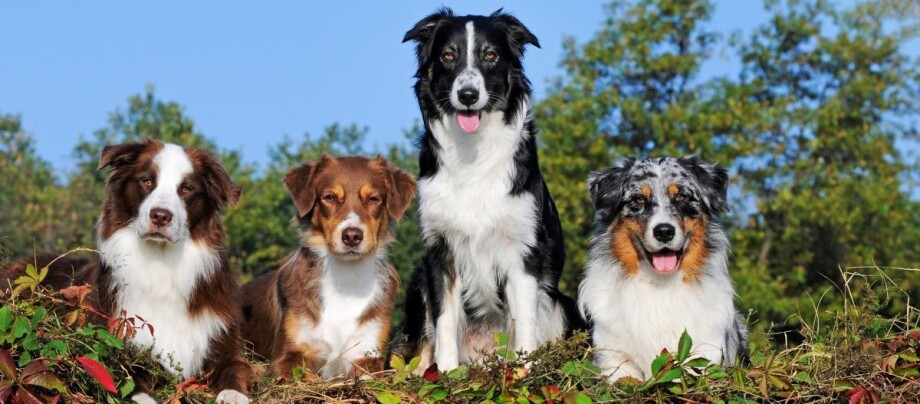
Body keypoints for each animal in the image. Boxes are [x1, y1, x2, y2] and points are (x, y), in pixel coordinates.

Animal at [0, 140, 252, 402]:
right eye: (147, 181)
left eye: (186, 189)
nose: (160, 216)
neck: (161, 263)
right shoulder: (110, 349)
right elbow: (130, 383)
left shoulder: (221, 338)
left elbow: (235, 367)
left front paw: (233, 395)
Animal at [244, 154, 416, 378]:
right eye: (330, 197)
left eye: (374, 199)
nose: (352, 236)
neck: (345, 277)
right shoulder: (286, 357)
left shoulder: (366, 355)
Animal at [398, 8, 584, 370]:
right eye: (448, 56)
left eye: (490, 55)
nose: (468, 95)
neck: (472, 150)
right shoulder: (441, 252)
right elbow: (444, 323)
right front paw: (446, 374)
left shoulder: (522, 254)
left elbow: (524, 324)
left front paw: (525, 372)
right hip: (418, 283)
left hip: (561, 303)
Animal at [584, 156, 748, 380]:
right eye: (638, 200)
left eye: (681, 196)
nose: (664, 232)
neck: (660, 283)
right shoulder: (614, 359)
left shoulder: (705, 355)